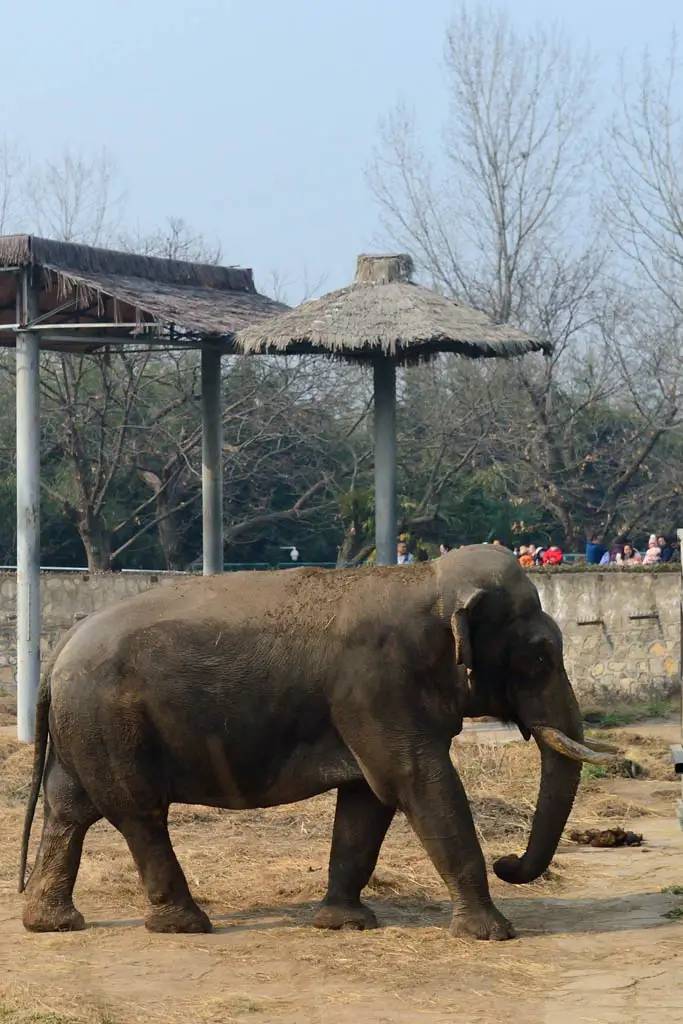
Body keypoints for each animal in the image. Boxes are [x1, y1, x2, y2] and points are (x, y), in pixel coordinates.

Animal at [18, 544, 614, 942]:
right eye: (539, 656)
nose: (507, 862)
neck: (428, 581)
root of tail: (59, 648)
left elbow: (367, 801)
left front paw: (345, 924)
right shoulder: (377, 685)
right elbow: (417, 782)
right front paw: (492, 935)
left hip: (85, 727)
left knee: (67, 809)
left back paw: (53, 923)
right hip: (111, 724)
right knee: (139, 814)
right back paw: (186, 925)